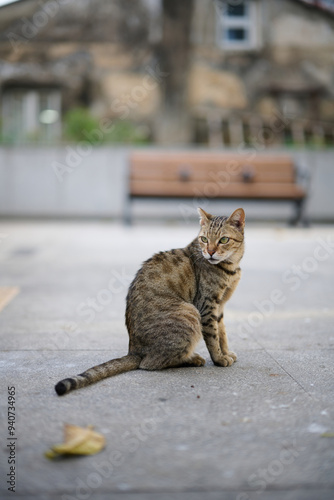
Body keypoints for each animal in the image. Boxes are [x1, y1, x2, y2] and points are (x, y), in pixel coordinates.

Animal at [54, 207, 245, 394]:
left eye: (223, 240)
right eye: (204, 239)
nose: (210, 252)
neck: (231, 268)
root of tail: (134, 351)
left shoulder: (220, 307)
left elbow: (222, 334)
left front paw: (226, 353)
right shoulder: (207, 305)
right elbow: (213, 337)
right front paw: (219, 359)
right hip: (190, 312)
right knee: (150, 364)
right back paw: (193, 359)